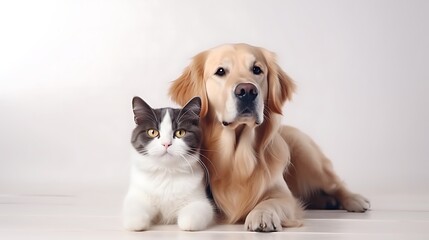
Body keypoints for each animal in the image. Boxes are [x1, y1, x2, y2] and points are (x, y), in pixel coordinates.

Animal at [122, 96, 214, 232]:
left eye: (180, 132)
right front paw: (137, 222)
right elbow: (133, 213)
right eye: (152, 132)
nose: (166, 144)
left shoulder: (201, 199)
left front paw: (186, 222)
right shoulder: (138, 193)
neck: (166, 171)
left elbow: (195, 214)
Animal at [167, 43, 368, 232]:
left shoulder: (285, 196)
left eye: (257, 70)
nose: (247, 91)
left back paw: (354, 200)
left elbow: (270, 202)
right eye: (220, 71)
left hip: (309, 157)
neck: (238, 160)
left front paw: (262, 215)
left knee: (335, 184)